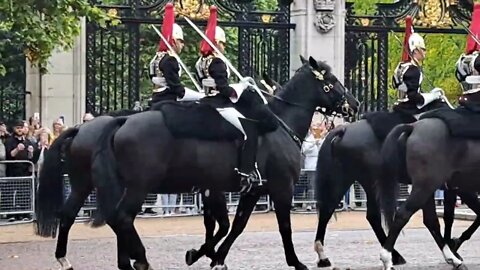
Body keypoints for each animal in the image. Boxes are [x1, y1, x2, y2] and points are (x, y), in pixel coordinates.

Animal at [86, 56, 358, 268]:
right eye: (332, 80)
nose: (355, 104)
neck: (281, 123)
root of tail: (122, 121)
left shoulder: (248, 190)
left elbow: (234, 225)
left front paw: (211, 256)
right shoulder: (281, 188)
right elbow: (283, 226)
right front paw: (296, 262)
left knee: (117, 219)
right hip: (139, 187)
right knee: (122, 218)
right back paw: (140, 260)